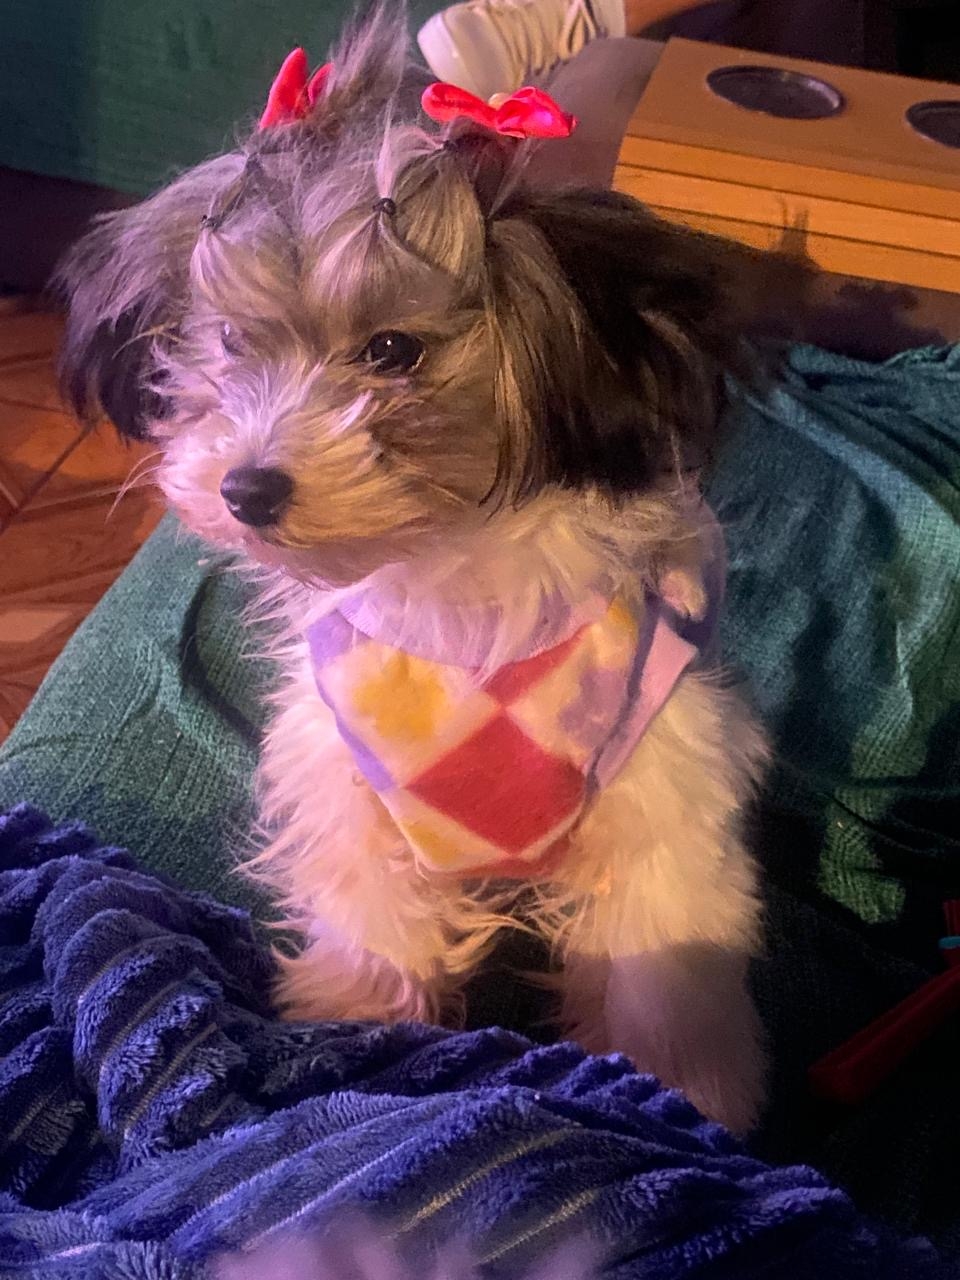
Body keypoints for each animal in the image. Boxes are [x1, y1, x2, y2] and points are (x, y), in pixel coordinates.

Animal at [58, 3, 799, 1135]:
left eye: (393, 351)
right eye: (229, 341)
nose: (246, 487)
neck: (458, 590)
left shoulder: (659, 791)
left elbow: (661, 965)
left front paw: (685, 1091)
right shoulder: (349, 793)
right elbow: (375, 936)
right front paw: (364, 1041)